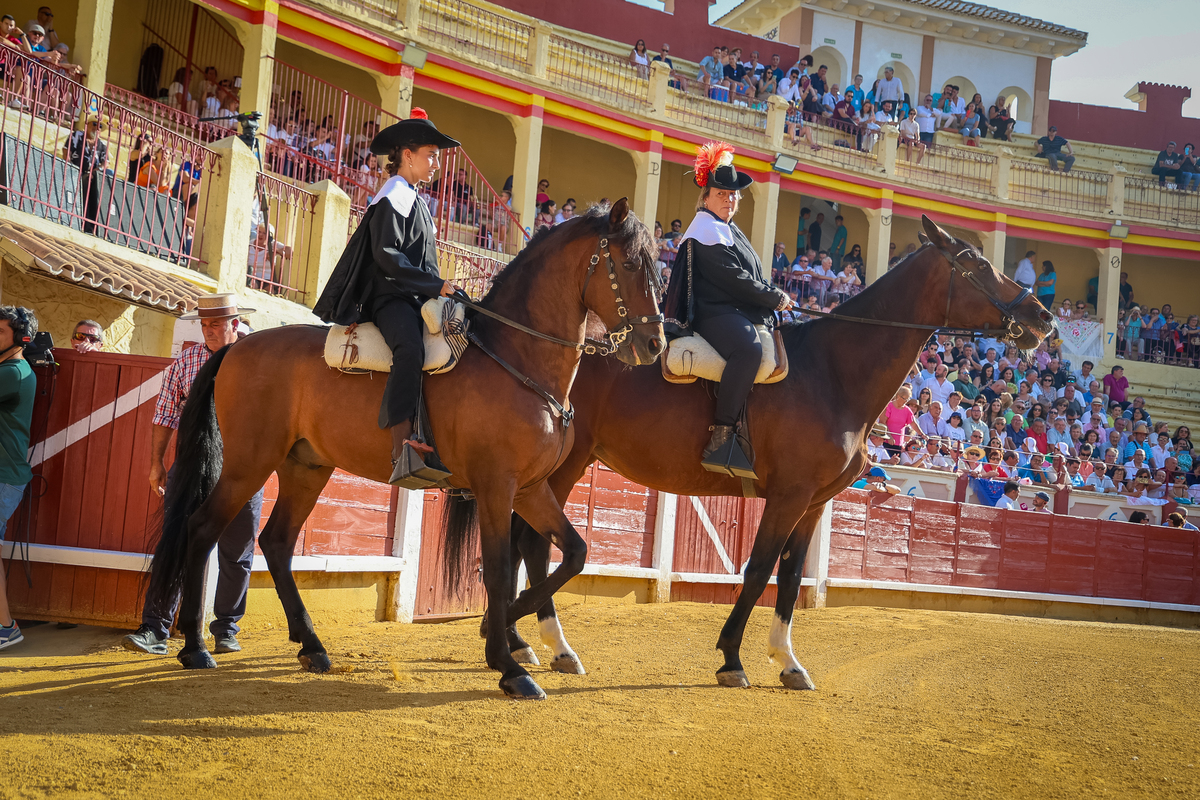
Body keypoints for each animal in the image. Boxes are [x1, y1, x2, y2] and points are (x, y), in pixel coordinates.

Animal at [150, 200, 667, 700]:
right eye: (629, 263)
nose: (654, 344)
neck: (516, 358)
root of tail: (235, 347)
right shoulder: (496, 488)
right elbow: (499, 571)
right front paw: (508, 662)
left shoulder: (531, 489)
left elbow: (575, 552)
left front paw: (509, 636)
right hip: (249, 463)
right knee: (203, 528)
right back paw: (196, 647)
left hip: (306, 467)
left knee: (276, 541)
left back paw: (311, 647)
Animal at [492, 215, 1056, 690]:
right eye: (976, 263)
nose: (1043, 317)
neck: (832, 371)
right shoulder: (789, 495)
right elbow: (760, 568)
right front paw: (731, 658)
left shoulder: (815, 502)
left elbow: (789, 576)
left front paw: (788, 661)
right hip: (564, 465)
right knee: (536, 543)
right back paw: (546, 641)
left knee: (525, 541)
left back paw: (525, 643)